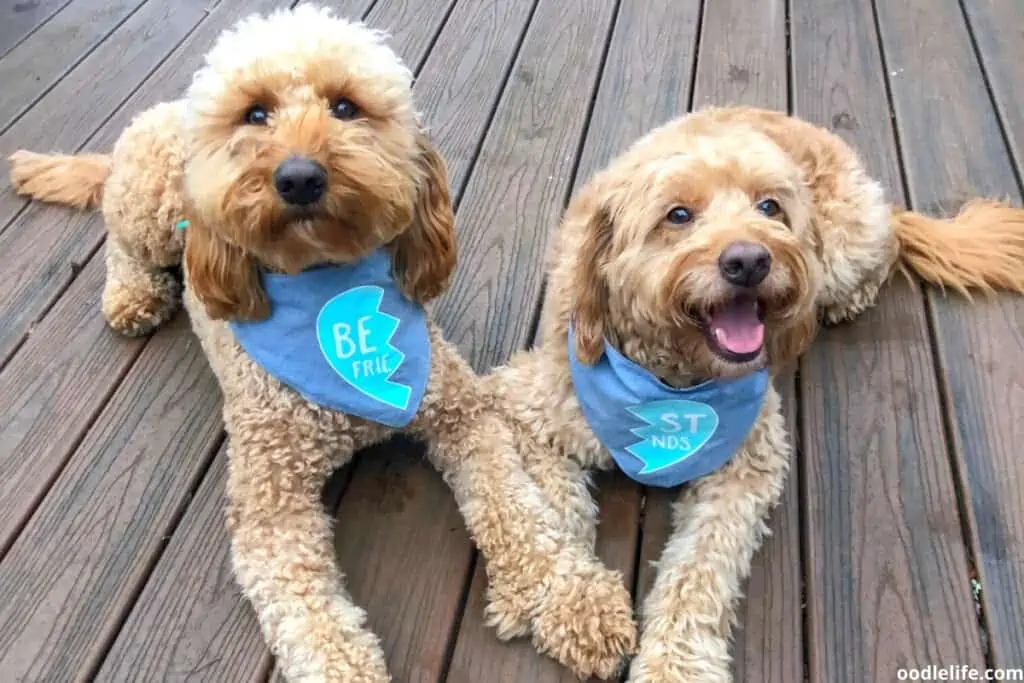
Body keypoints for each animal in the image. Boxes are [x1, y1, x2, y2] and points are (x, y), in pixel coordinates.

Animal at [8, 6, 634, 683]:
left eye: (345, 106)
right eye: (255, 113)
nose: (300, 177)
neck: (330, 292)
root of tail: (164, 111)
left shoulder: (464, 416)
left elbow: (518, 510)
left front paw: (572, 596)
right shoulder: (271, 509)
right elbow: (314, 621)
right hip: (144, 214)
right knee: (119, 246)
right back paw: (131, 296)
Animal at [483, 108, 1024, 683]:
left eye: (769, 207)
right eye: (677, 215)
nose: (748, 261)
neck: (669, 386)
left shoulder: (749, 464)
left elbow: (700, 570)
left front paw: (676, 666)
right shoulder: (527, 405)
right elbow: (547, 509)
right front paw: (571, 604)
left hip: (843, 250)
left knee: (889, 246)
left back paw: (850, 297)